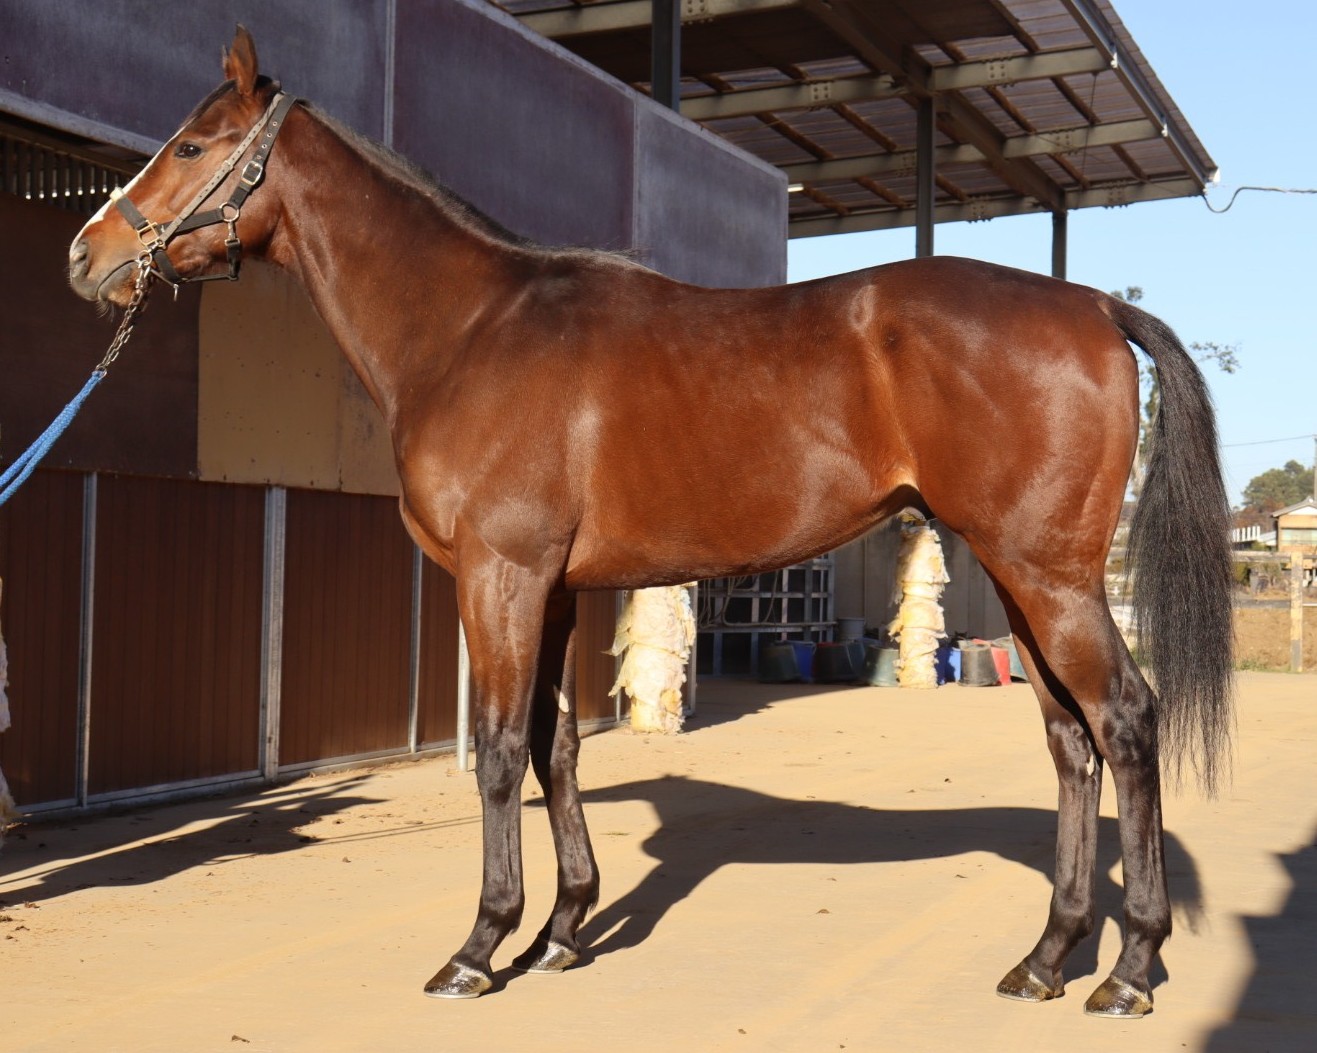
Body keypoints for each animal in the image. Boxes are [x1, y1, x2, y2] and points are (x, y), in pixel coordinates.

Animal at [67, 27, 1233, 1016]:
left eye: (191, 144)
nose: (85, 256)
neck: (471, 328)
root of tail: (1093, 307)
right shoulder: (556, 590)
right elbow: (556, 747)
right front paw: (563, 931)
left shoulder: (500, 576)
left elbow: (501, 750)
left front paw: (480, 947)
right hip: (1022, 577)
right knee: (1071, 742)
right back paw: (1046, 958)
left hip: (1049, 576)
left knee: (1125, 720)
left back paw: (1129, 969)